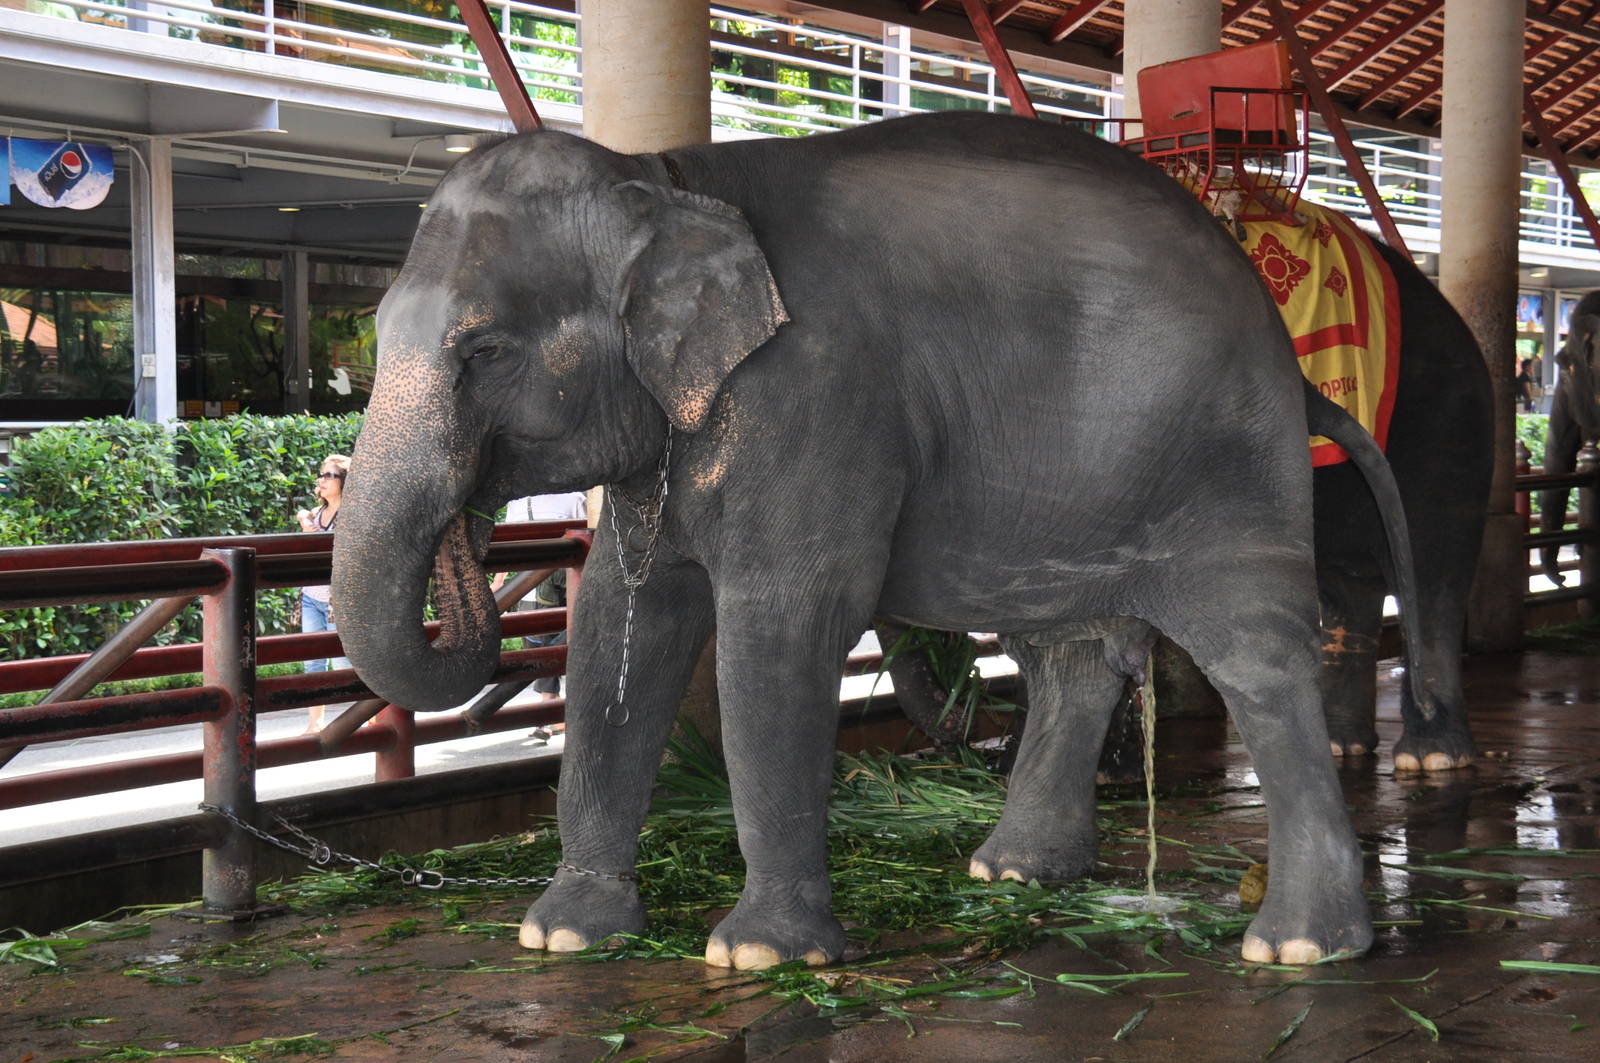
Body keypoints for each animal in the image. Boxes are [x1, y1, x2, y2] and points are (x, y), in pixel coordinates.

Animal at [332, 112, 1430, 971]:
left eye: (483, 351)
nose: (470, 527)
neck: (666, 175)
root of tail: (1290, 360)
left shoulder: (815, 390)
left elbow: (781, 628)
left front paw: (758, 956)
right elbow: (618, 622)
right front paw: (562, 934)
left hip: (1225, 460)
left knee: (1252, 654)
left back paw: (1299, 946)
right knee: (1071, 655)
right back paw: (1012, 871)